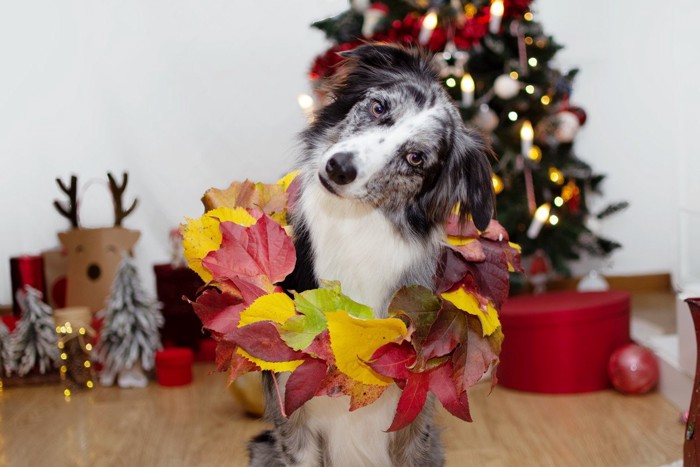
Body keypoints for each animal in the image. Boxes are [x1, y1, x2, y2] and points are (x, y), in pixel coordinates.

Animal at [249, 44, 494, 467]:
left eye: (416, 158)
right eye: (379, 108)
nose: (339, 167)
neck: (353, 226)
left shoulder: (414, 422)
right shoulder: (291, 417)